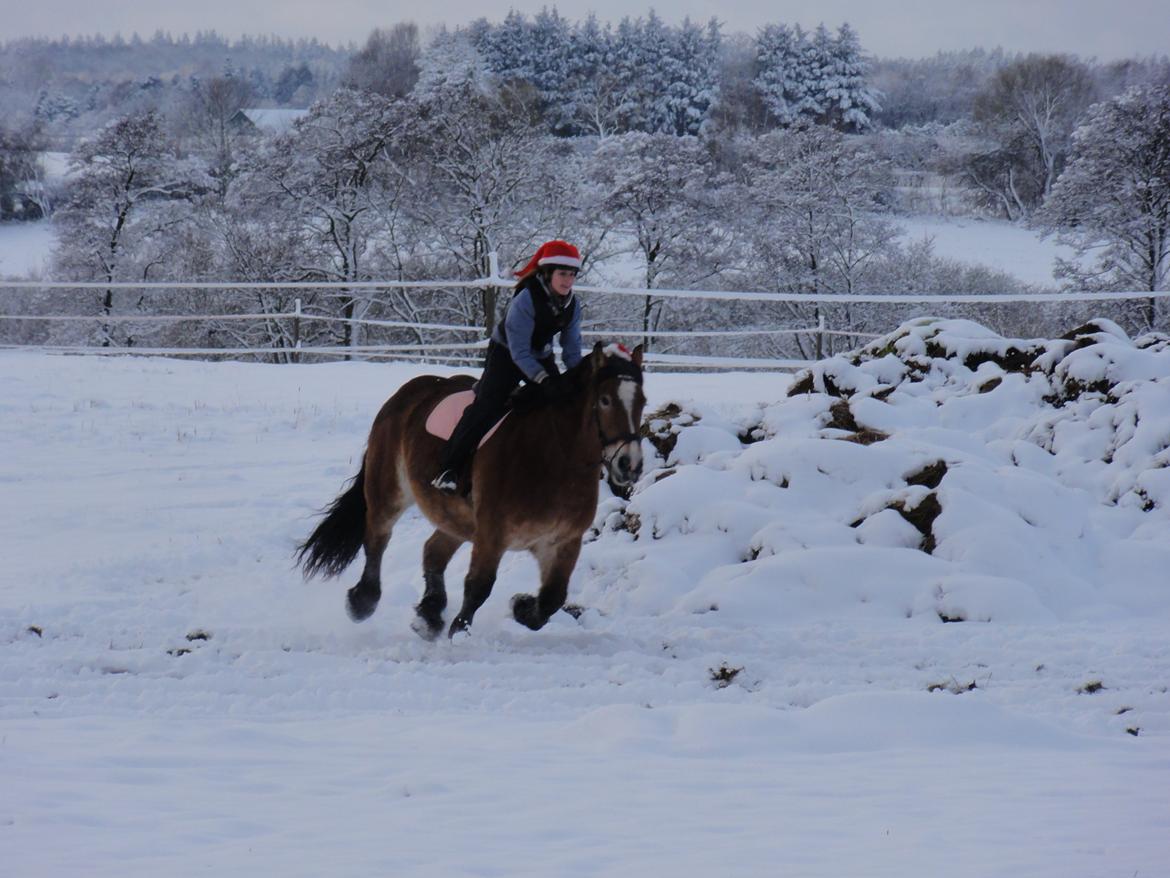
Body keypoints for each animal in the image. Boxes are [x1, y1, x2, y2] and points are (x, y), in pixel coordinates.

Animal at [297, 341, 645, 641]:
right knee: (377, 539)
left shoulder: (562, 542)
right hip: (389, 491)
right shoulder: (493, 533)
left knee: (432, 551)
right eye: (605, 400)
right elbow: (479, 586)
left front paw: (520, 606)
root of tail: (405, 394)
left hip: (457, 519)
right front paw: (459, 633)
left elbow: (551, 599)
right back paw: (363, 602)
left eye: (641, 402)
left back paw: (428, 616)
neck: (555, 456)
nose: (629, 464)